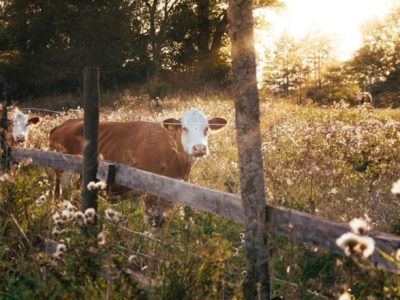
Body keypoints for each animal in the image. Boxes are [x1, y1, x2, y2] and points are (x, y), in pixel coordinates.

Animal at [49, 109, 228, 224]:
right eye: (184, 128)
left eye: (206, 129)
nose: (200, 148)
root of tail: (64, 124)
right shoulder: (150, 196)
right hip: (63, 173)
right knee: (60, 196)